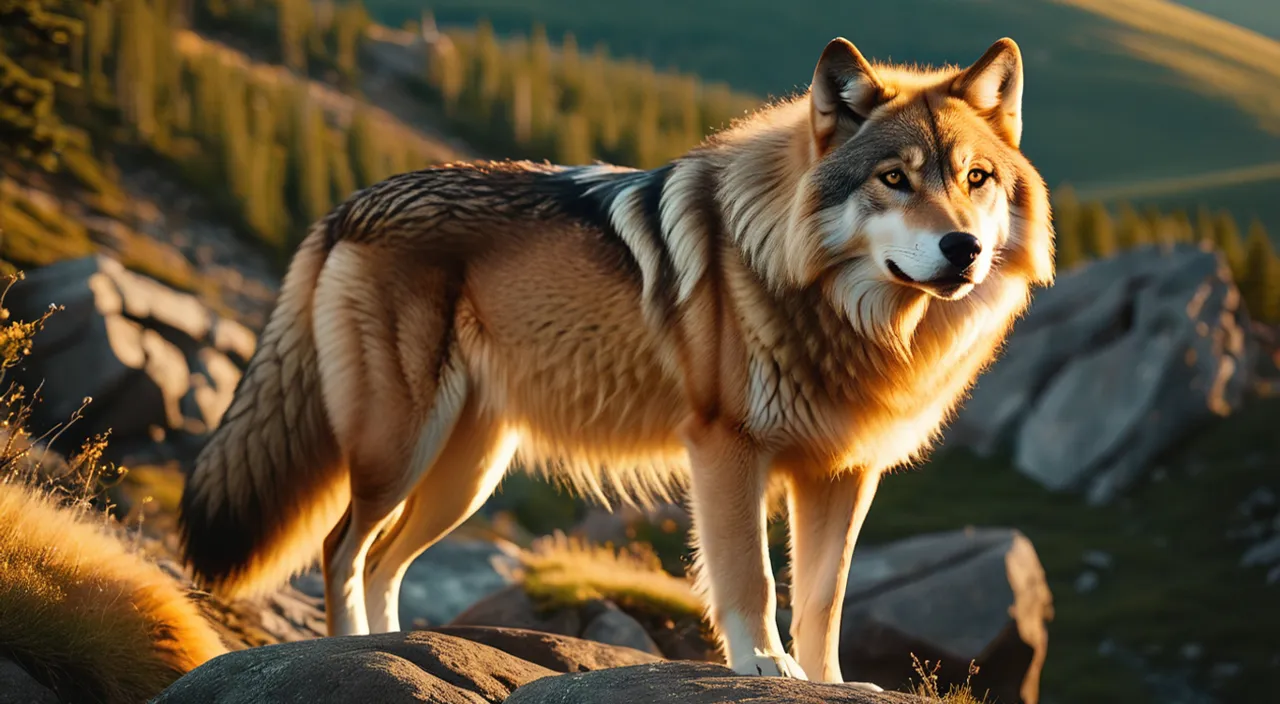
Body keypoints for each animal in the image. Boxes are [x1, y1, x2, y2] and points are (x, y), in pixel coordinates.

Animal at [183, 35, 1059, 686]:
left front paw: (833, 683)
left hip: (465, 475)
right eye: (895, 180)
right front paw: (765, 667)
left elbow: (824, 598)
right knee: (341, 548)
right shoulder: (727, 449)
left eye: (975, 179)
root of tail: (349, 203)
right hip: (399, 450)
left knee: (384, 563)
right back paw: (353, 650)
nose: (963, 248)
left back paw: (390, 653)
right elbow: (752, 579)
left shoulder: (842, 474)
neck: (849, 313)